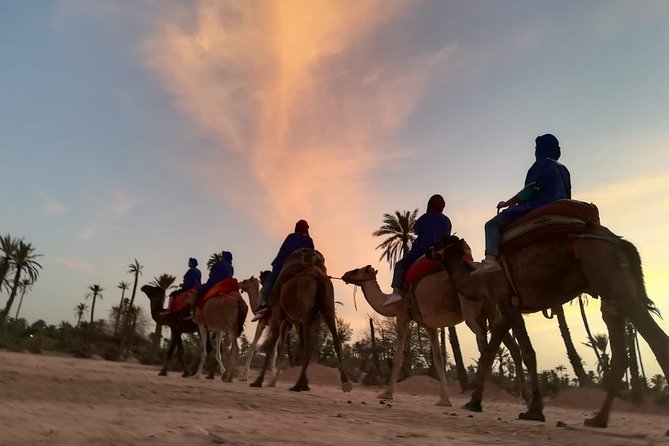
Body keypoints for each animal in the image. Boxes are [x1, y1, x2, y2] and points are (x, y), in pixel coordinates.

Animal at [250, 264, 352, 392]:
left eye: (261, 280)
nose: (262, 305)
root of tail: (319, 276)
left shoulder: (277, 318)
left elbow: (271, 347)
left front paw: (258, 381)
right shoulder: (295, 322)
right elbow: (295, 347)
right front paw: (305, 382)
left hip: (306, 308)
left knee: (309, 344)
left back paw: (298, 385)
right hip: (327, 305)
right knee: (334, 339)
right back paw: (345, 382)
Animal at [340, 264, 528, 408]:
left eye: (357, 270)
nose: (345, 274)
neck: (390, 303)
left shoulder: (402, 316)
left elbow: (398, 355)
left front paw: (386, 394)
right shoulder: (429, 324)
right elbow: (438, 357)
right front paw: (444, 400)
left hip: (472, 310)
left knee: (485, 345)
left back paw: (477, 399)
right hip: (492, 310)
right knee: (511, 345)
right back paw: (523, 396)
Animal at [428, 230, 668, 428]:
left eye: (439, 241)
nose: (428, 251)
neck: (481, 280)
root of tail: (620, 243)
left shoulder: (508, 303)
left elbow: (528, 353)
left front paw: (534, 411)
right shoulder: (505, 309)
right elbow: (489, 352)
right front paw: (473, 403)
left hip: (611, 277)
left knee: (656, 340)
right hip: (610, 293)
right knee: (621, 351)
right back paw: (597, 420)